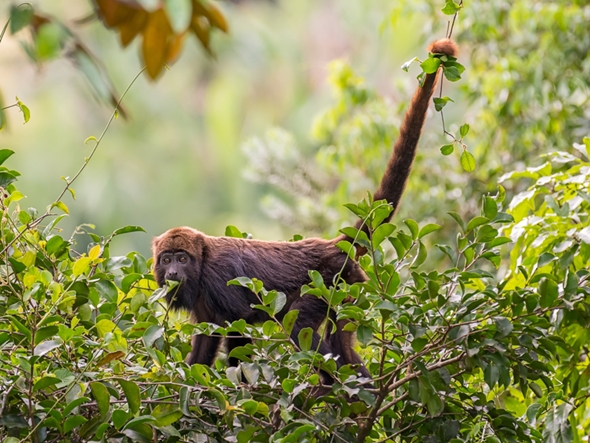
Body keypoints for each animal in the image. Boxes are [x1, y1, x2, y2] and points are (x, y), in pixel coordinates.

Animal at [151, 38, 458, 384]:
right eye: (166, 259)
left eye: (182, 258)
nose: (173, 273)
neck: (201, 267)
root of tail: (332, 245)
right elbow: (206, 339)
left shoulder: (219, 280)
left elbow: (238, 329)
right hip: (349, 288)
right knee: (343, 344)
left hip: (328, 279)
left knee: (300, 327)